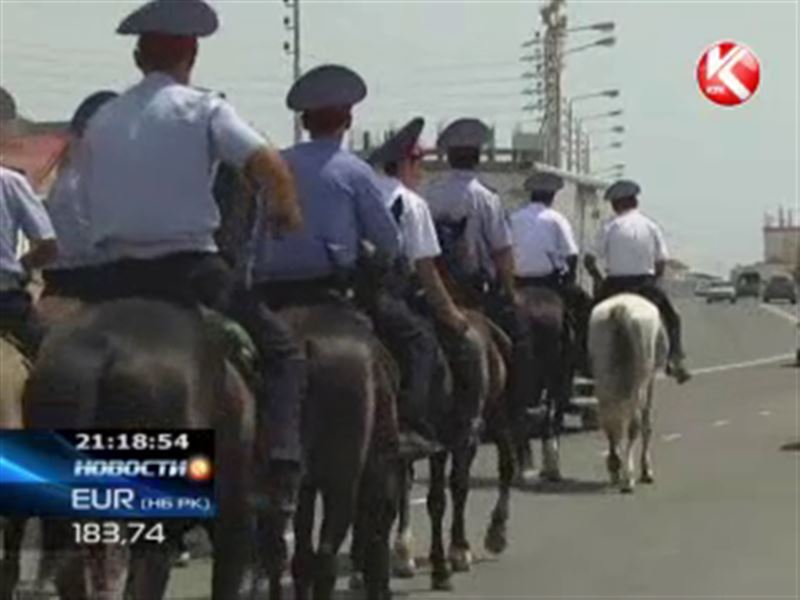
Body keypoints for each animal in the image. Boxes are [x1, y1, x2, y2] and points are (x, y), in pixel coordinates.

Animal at [588, 292, 668, 494]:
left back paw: (615, 466)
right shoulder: (650, 381)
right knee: (635, 424)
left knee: (608, 420)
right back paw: (628, 477)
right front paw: (646, 470)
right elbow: (647, 425)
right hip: (640, 378)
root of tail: (620, 308)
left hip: (603, 375)